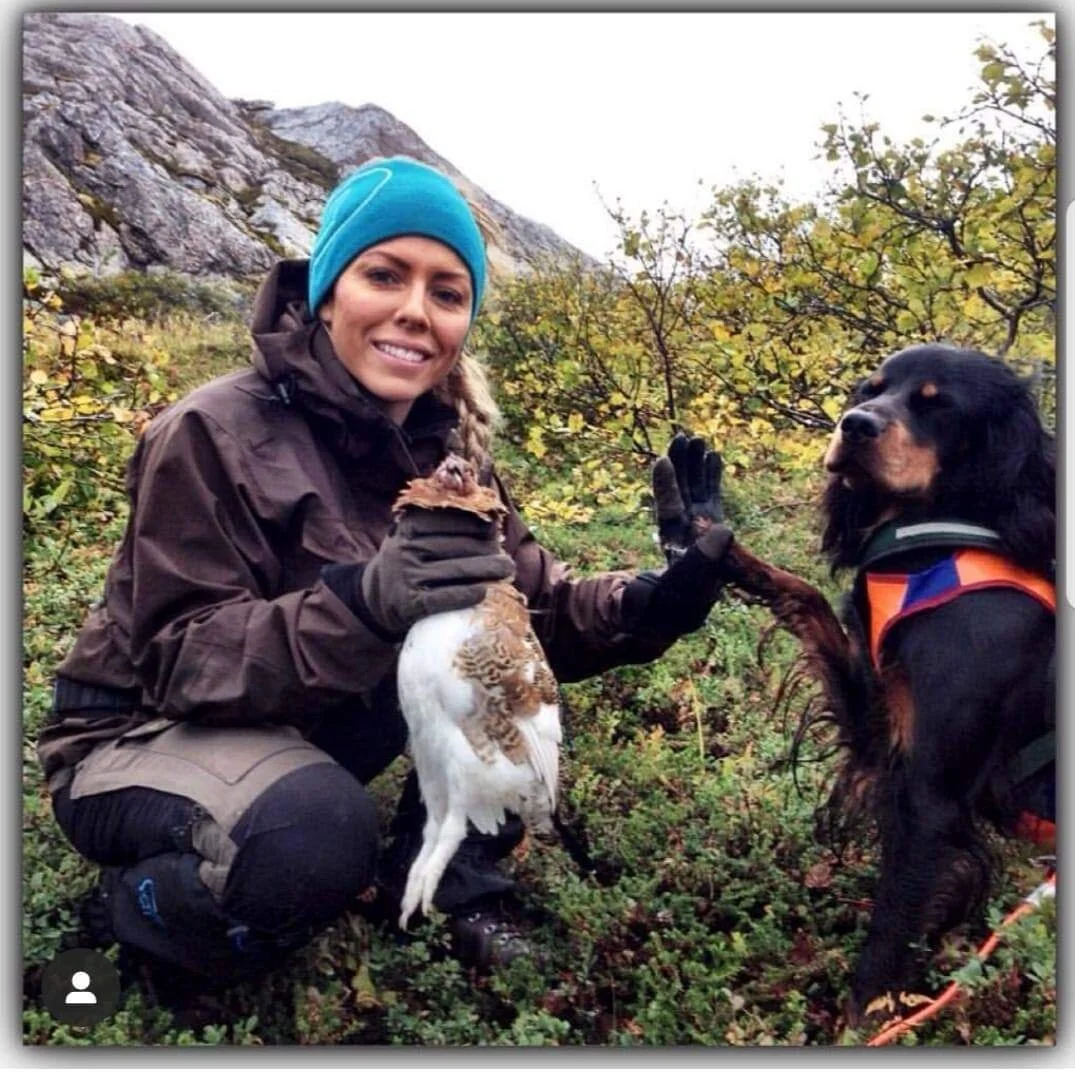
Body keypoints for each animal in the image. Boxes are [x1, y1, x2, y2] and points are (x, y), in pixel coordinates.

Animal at [718, 342, 1055, 1024]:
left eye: (937, 404)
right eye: (869, 389)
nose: (854, 425)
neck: (942, 534)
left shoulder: (931, 797)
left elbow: (889, 937)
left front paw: (862, 1025)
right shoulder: (879, 718)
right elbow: (807, 596)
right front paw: (715, 543)